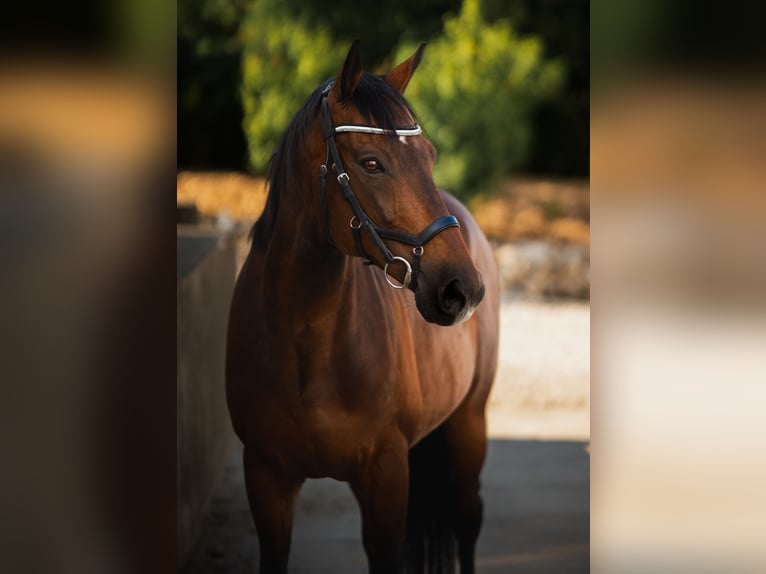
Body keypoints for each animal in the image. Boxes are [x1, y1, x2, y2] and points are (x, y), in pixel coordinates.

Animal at [226, 41, 504, 574]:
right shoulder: (265, 477)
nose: (462, 289)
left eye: (430, 156)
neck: (306, 341)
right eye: (372, 163)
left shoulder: (384, 474)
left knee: (468, 520)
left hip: (469, 423)